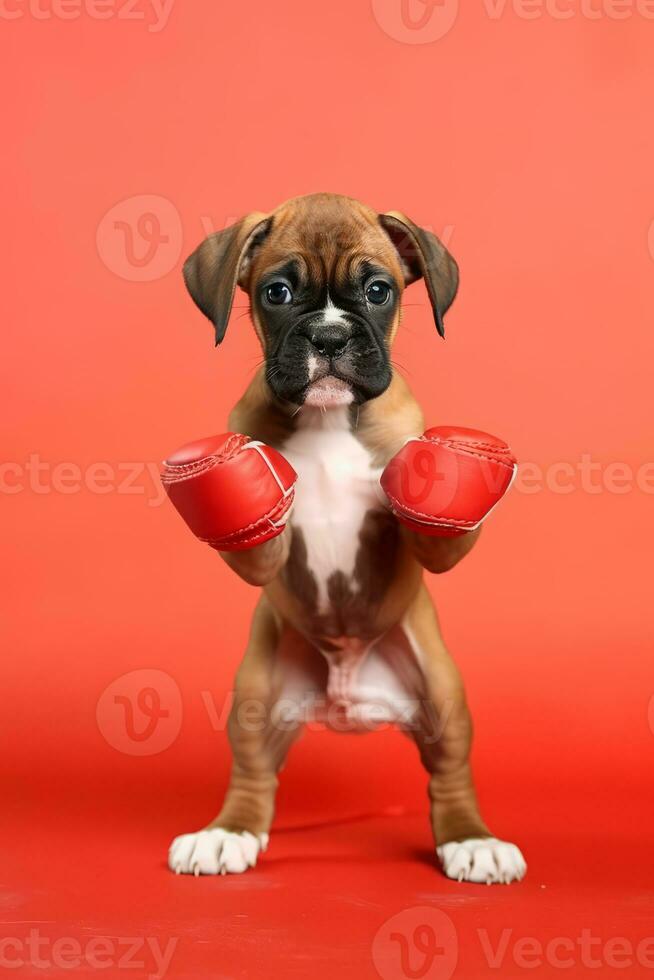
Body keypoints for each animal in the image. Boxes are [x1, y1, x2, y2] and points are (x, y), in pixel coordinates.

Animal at [164, 195, 528, 884]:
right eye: (278, 292)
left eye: (378, 291)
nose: (330, 336)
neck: (329, 418)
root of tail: (346, 695)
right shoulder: (262, 546)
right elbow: (253, 528)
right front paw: (234, 477)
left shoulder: (424, 536)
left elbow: (439, 530)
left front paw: (450, 467)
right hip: (254, 694)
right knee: (253, 775)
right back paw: (227, 834)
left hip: (443, 691)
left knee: (449, 776)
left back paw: (472, 841)